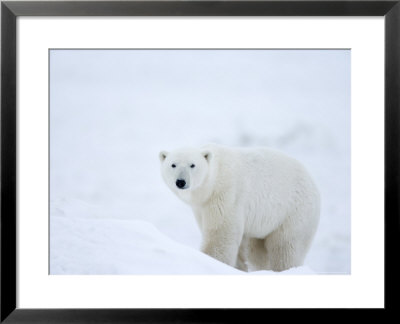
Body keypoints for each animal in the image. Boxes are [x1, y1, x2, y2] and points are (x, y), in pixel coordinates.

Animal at [159, 144, 318, 270]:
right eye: (173, 164)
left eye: (192, 165)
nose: (180, 181)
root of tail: (313, 183)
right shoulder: (201, 207)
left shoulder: (226, 195)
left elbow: (220, 234)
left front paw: (212, 261)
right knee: (258, 251)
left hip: (293, 212)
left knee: (286, 248)